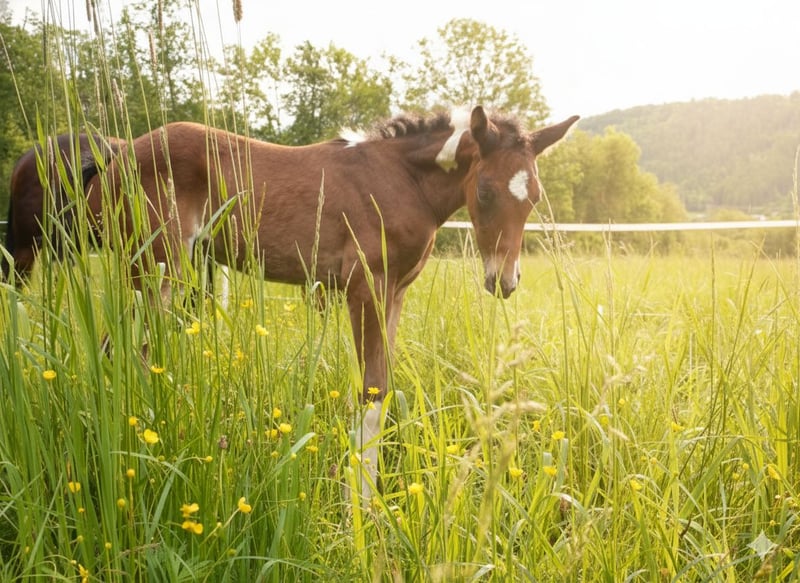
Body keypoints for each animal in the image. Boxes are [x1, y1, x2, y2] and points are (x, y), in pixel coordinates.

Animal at [86, 106, 579, 500]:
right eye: (485, 191)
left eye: (535, 197)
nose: (505, 280)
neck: (404, 182)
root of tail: (117, 158)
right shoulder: (366, 288)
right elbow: (370, 394)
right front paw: (356, 509)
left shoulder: (395, 293)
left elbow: (383, 391)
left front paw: (371, 504)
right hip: (152, 267)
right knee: (122, 348)